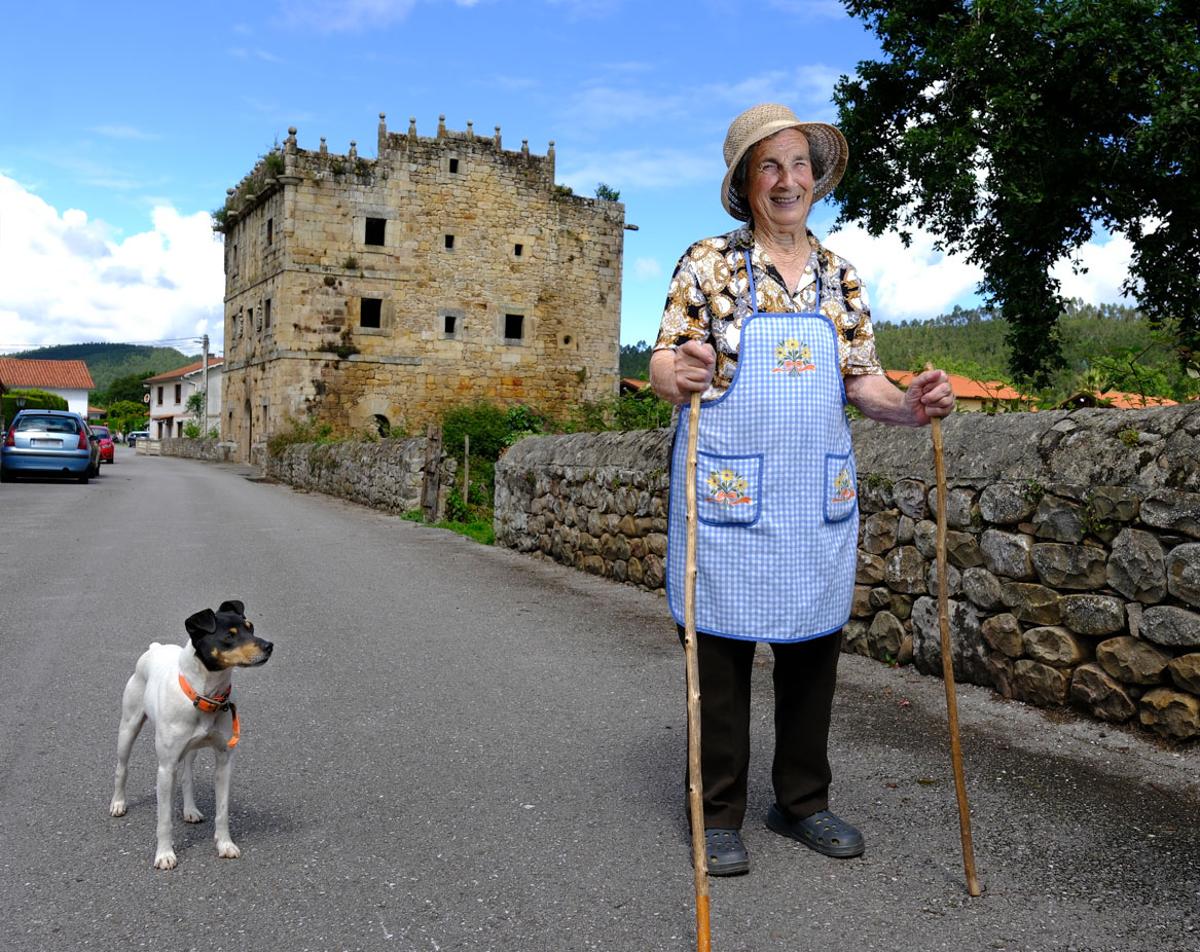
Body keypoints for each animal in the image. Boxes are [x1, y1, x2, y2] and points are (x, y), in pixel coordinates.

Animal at [109, 602, 273, 869]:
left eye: (251, 628)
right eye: (229, 636)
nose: (269, 646)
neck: (205, 696)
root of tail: (155, 648)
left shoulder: (224, 761)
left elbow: (222, 811)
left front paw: (225, 844)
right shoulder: (165, 768)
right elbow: (164, 819)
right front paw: (165, 855)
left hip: (190, 748)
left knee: (187, 775)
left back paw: (190, 810)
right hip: (128, 728)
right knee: (121, 767)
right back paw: (118, 803)